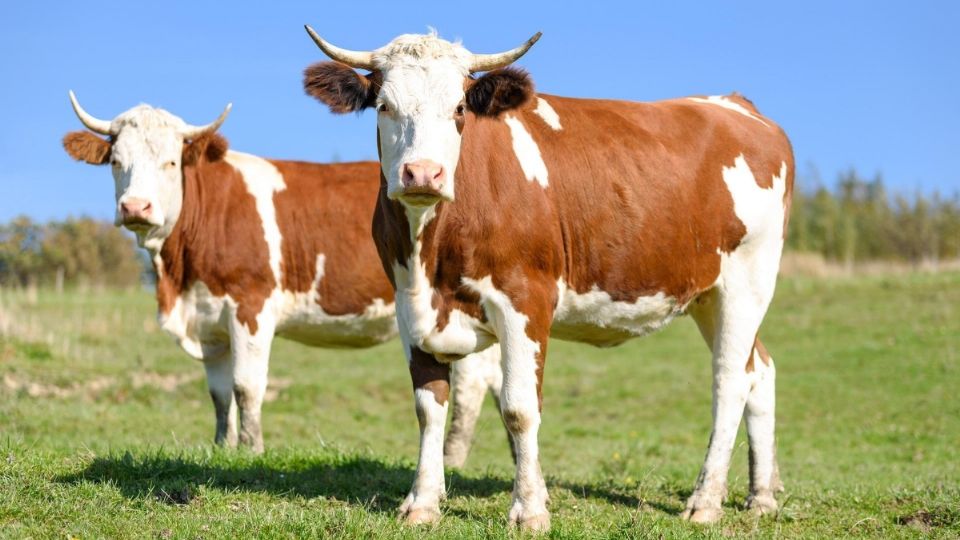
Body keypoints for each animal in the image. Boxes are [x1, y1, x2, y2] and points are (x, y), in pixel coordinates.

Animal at [61, 94, 506, 460]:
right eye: (116, 162)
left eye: (170, 162)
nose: (136, 207)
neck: (179, 276)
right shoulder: (209, 321)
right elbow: (219, 394)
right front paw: (222, 447)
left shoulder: (251, 306)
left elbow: (246, 386)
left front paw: (251, 449)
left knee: (471, 385)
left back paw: (452, 456)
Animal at [302, 29, 796, 532]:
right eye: (384, 105)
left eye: (459, 108)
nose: (423, 173)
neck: (432, 251)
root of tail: (734, 104)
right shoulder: (409, 304)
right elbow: (428, 406)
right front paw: (422, 503)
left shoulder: (526, 298)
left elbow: (519, 408)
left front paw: (529, 510)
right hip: (707, 296)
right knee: (760, 370)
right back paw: (761, 495)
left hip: (747, 281)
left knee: (730, 381)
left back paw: (706, 501)